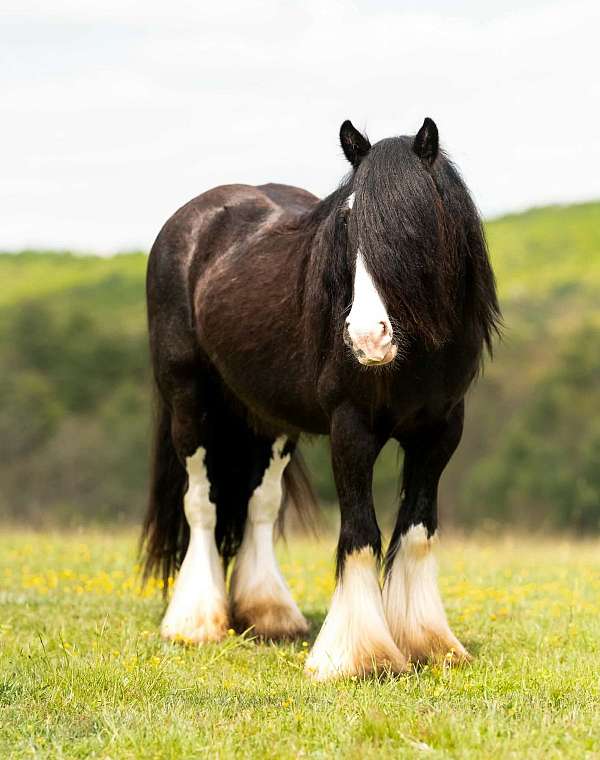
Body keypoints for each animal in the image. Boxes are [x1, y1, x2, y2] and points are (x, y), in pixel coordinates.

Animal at [141, 117, 500, 680]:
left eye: (416, 220)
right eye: (348, 221)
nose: (367, 337)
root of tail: (193, 221)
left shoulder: (440, 432)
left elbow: (417, 529)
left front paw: (428, 643)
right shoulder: (351, 429)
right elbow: (360, 530)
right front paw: (357, 654)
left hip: (270, 421)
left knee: (260, 505)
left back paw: (269, 615)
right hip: (188, 402)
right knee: (202, 502)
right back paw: (195, 622)